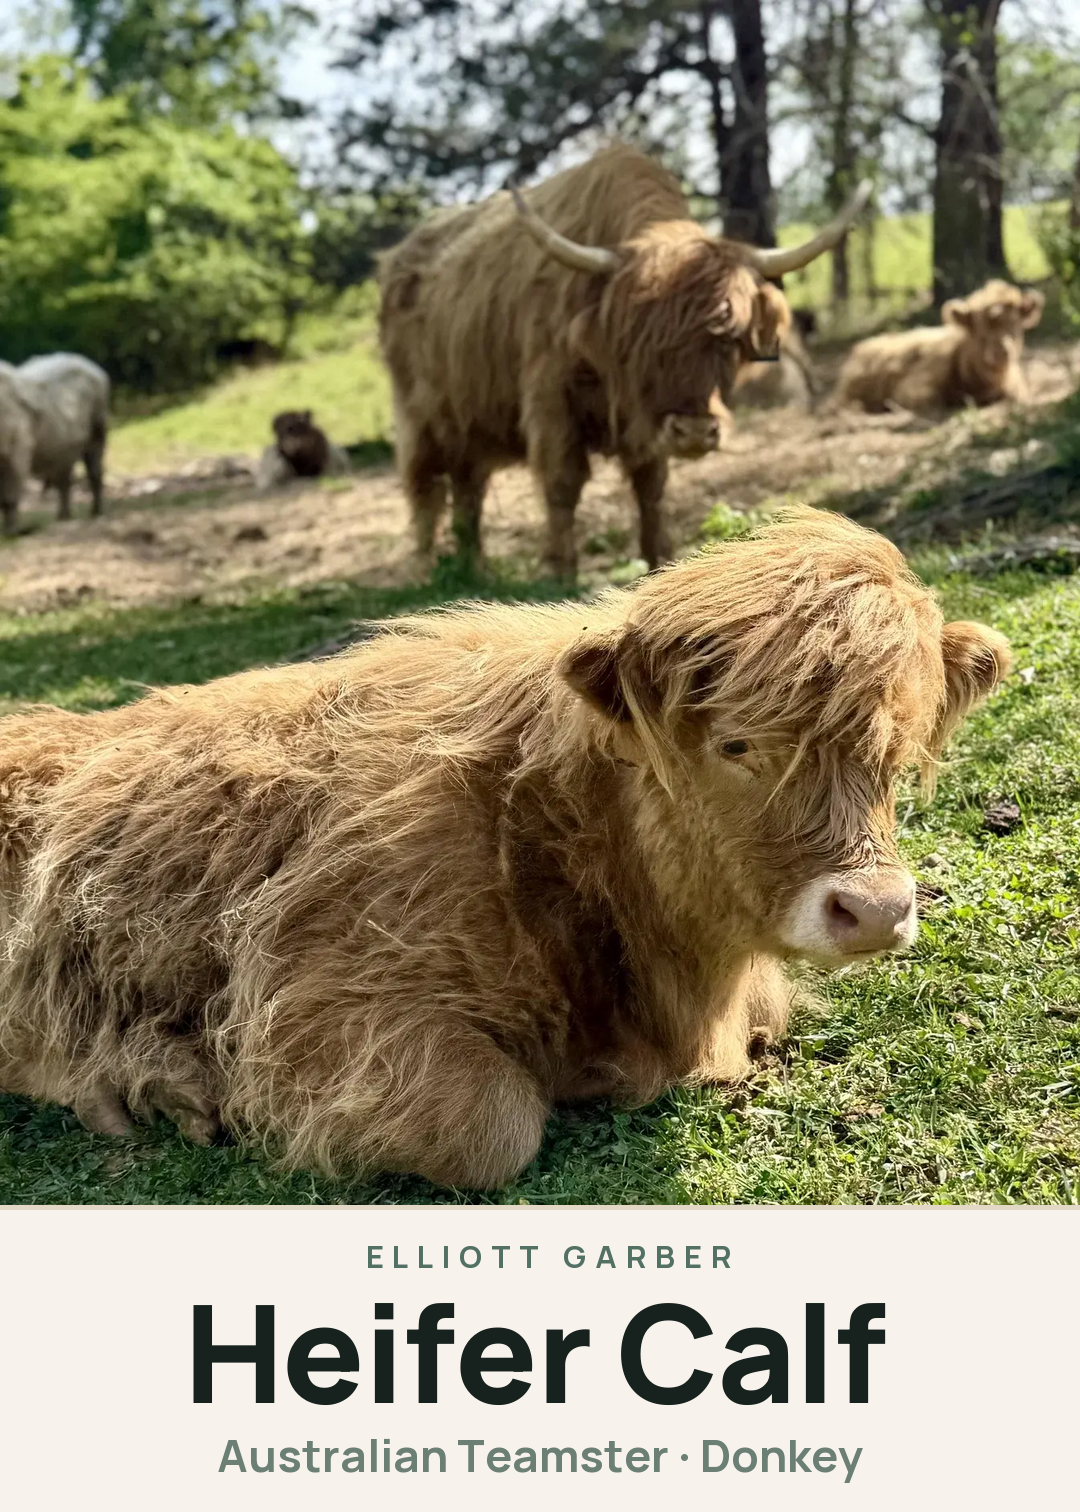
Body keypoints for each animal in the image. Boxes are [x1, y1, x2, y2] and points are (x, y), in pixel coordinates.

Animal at [0, 353, 109, 532]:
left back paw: (97, 511)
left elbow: (9, 497)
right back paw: (63, 516)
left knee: (95, 472)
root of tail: (96, 370)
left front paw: (11, 530)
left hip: (98, 432)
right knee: (64, 481)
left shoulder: (16, 452)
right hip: (64, 451)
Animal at [378, 143, 870, 578]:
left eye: (729, 338)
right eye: (640, 341)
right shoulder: (550, 400)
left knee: (468, 491)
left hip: (469, 421)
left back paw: (472, 566)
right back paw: (427, 570)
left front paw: (660, 562)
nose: (695, 432)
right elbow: (562, 484)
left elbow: (651, 486)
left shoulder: (646, 421)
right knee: (425, 490)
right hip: (418, 416)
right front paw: (560, 572)